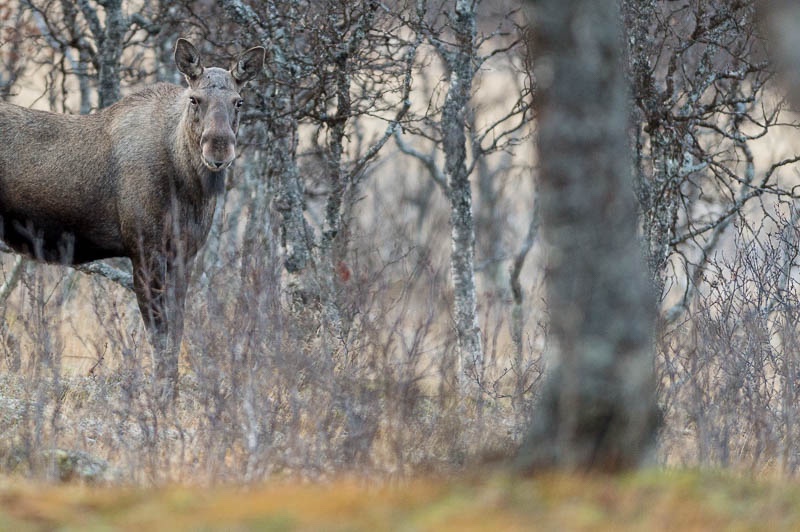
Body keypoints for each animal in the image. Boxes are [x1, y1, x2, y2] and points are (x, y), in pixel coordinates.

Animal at [0, 38, 268, 404]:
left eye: (238, 101)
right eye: (195, 99)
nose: (218, 152)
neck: (187, 184)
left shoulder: (184, 254)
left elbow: (176, 329)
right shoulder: (144, 250)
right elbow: (158, 333)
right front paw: (160, 400)